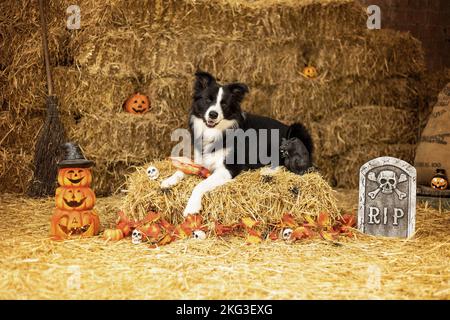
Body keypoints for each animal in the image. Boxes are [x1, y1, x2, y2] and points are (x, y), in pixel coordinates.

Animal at [162, 71, 312, 216]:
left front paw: (192, 206)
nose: (213, 114)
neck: (215, 131)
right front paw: (168, 180)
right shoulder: (201, 161)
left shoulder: (228, 169)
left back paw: (267, 170)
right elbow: (182, 170)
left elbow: (200, 185)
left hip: (297, 129)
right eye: (208, 100)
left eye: (224, 104)